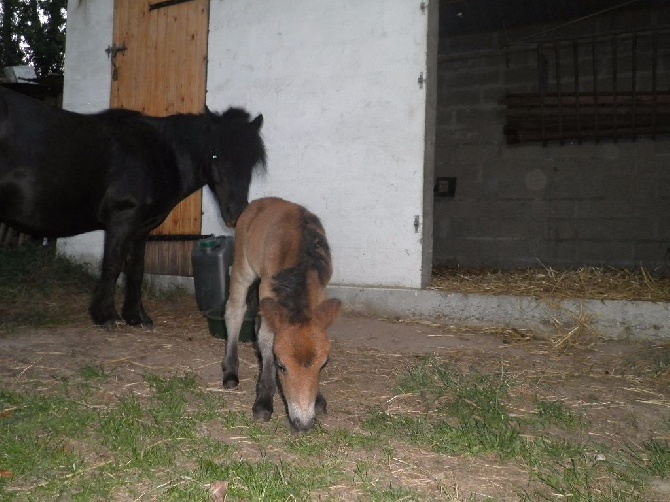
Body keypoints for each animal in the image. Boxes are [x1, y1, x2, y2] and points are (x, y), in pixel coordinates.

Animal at [0, 86, 268, 328]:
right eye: (214, 155)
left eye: (251, 160)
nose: (236, 213)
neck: (158, 154)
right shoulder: (123, 218)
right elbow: (113, 264)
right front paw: (106, 315)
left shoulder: (141, 228)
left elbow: (135, 268)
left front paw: (136, 316)